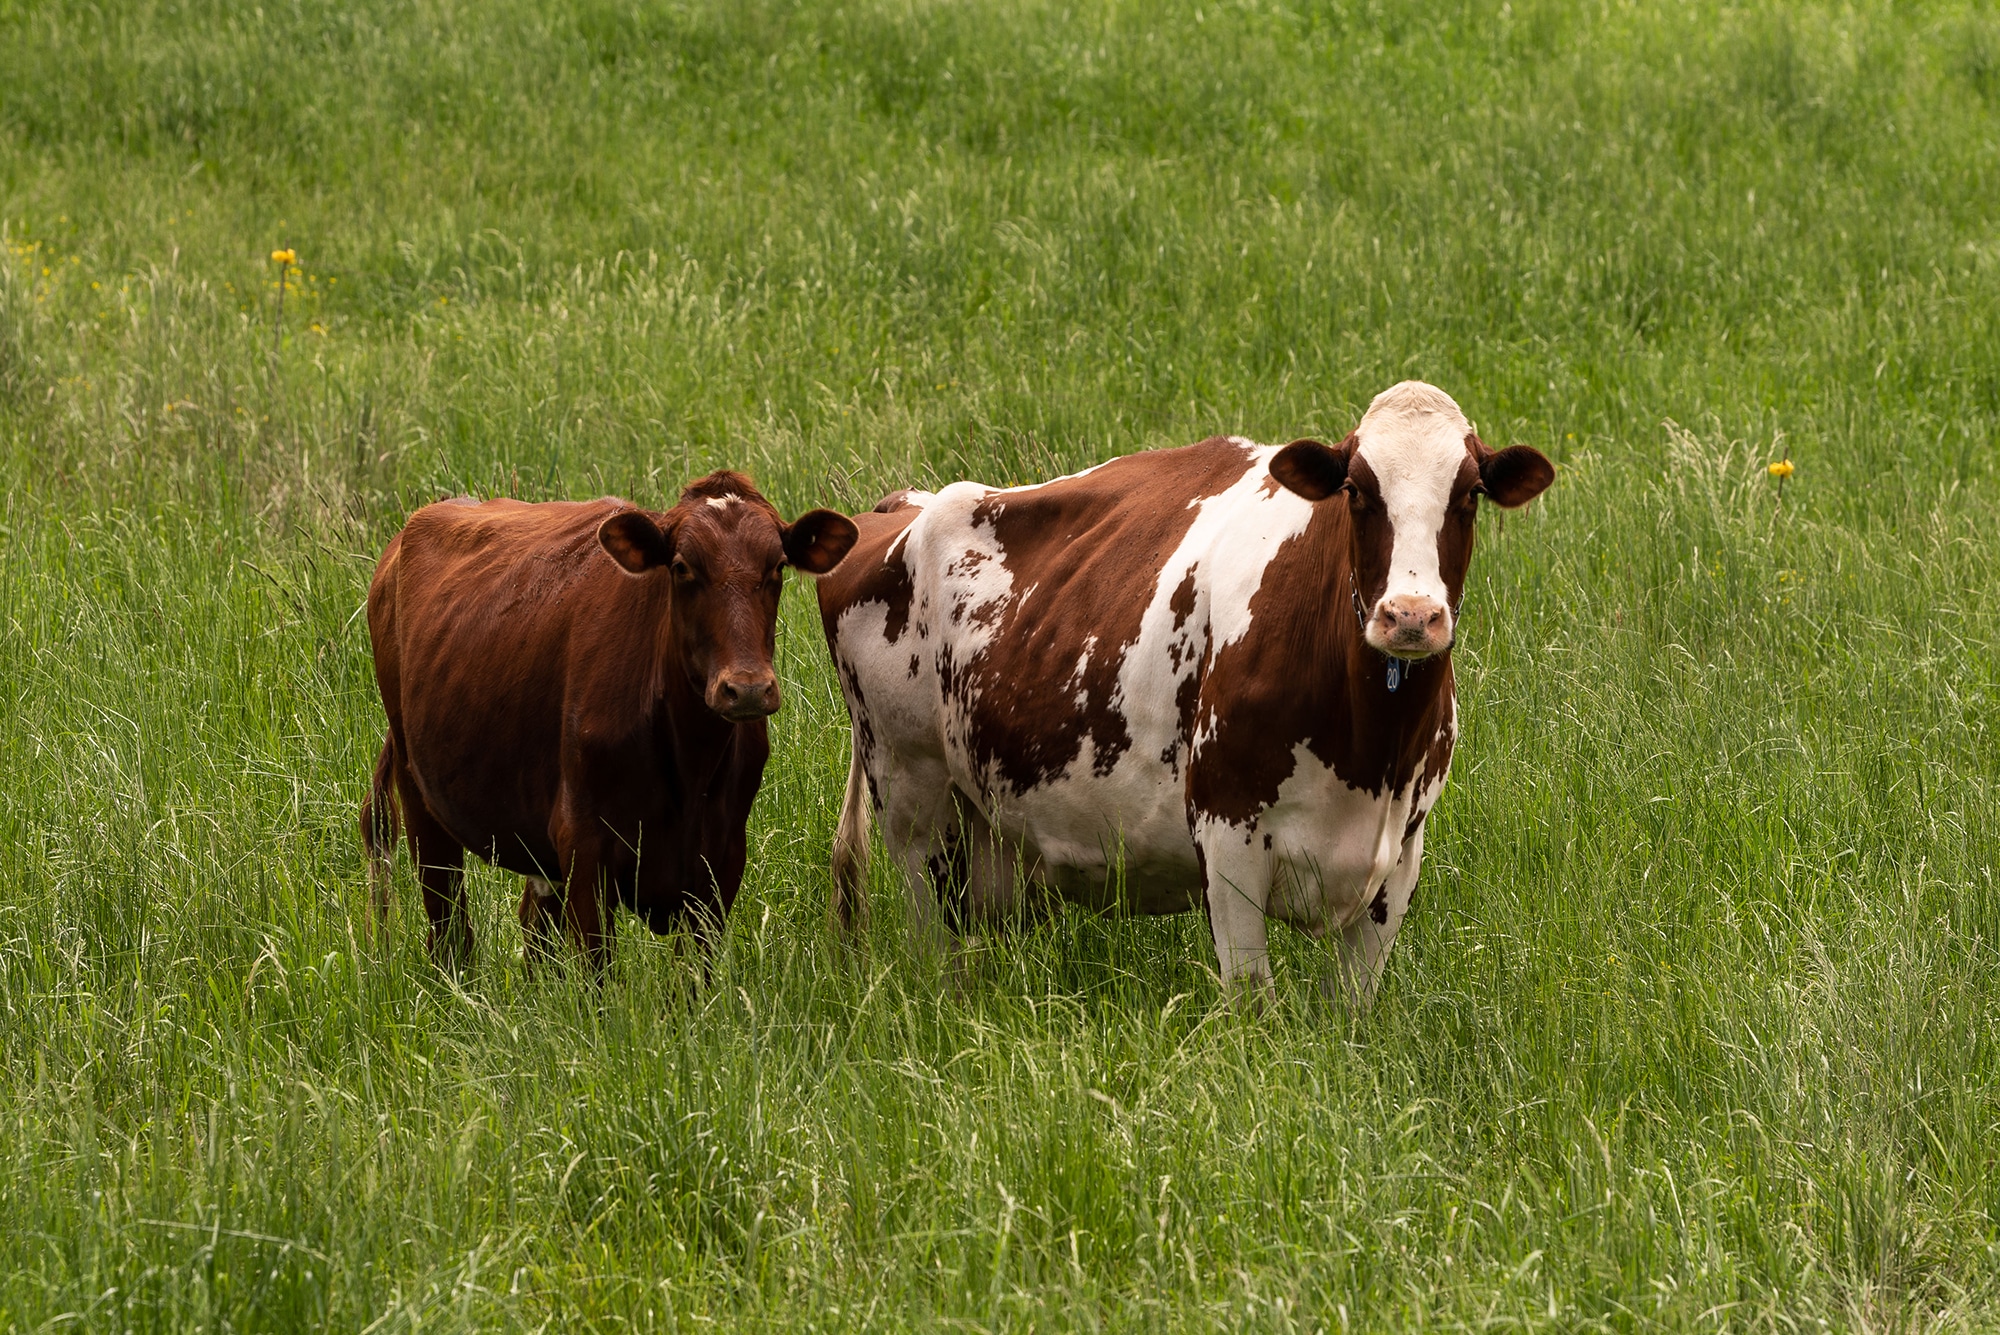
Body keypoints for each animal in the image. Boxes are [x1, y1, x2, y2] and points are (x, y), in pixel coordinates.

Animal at [361, 471, 858, 976]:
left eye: (777, 567)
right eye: (682, 567)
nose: (748, 688)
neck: (689, 765)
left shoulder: (722, 857)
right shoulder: (584, 843)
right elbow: (596, 974)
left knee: (533, 929)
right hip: (419, 793)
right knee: (449, 926)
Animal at [816, 382, 1553, 1006]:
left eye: (1469, 494)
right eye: (1356, 490)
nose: (1410, 616)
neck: (1368, 750)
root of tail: (902, 505)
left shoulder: (1399, 857)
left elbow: (1353, 1012)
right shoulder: (1227, 836)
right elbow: (1253, 1003)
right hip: (913, 799)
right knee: (932, 948)